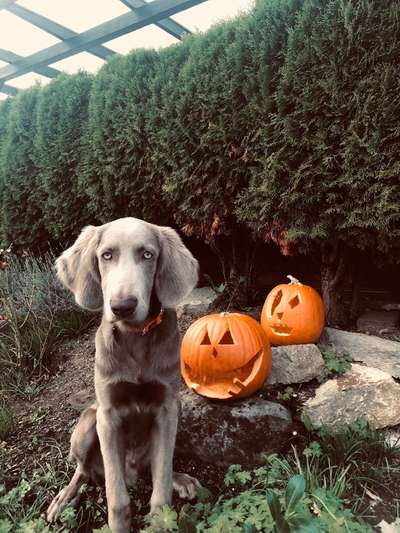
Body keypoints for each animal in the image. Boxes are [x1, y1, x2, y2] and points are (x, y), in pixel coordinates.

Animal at [47, 217, 200, 532]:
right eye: (106, 255)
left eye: (148, 254)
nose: (122, 306)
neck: (135, 336)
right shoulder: (108, 415)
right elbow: (117, 499)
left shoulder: (167, 408)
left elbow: (161, 486)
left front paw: (160, 518)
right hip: (87, 423)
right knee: (82, 470)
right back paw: (63, 499)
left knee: (155, 467)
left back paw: (181, 479)